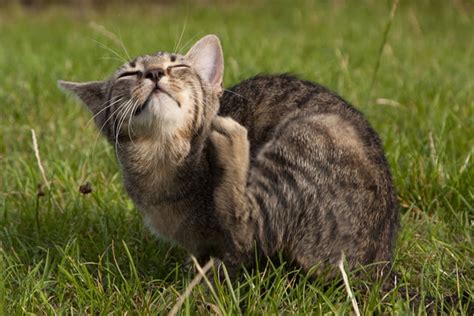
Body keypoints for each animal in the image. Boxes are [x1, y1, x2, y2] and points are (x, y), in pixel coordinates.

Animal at [59, 34, 400, 278]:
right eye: (129, 74)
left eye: (178, 67)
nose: (155, 72)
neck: (162, 158)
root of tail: (379, 267)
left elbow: (236, 250)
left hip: (308, 133)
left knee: (246, 228)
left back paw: (233, 141)